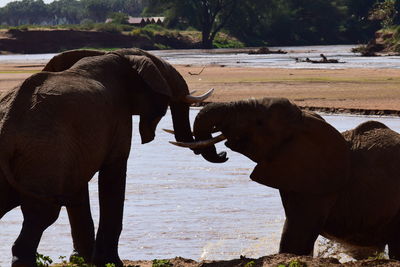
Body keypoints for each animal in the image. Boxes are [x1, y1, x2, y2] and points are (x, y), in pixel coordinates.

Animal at [0, 48, 225, 267]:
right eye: (167, 76)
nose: (223, 155)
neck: (117, 55)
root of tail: (7, 124)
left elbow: (80, 186)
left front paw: (84, 260)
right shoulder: (118, 118)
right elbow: (114, 172)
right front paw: (111, 262)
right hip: (44, 153)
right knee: (42, 212)